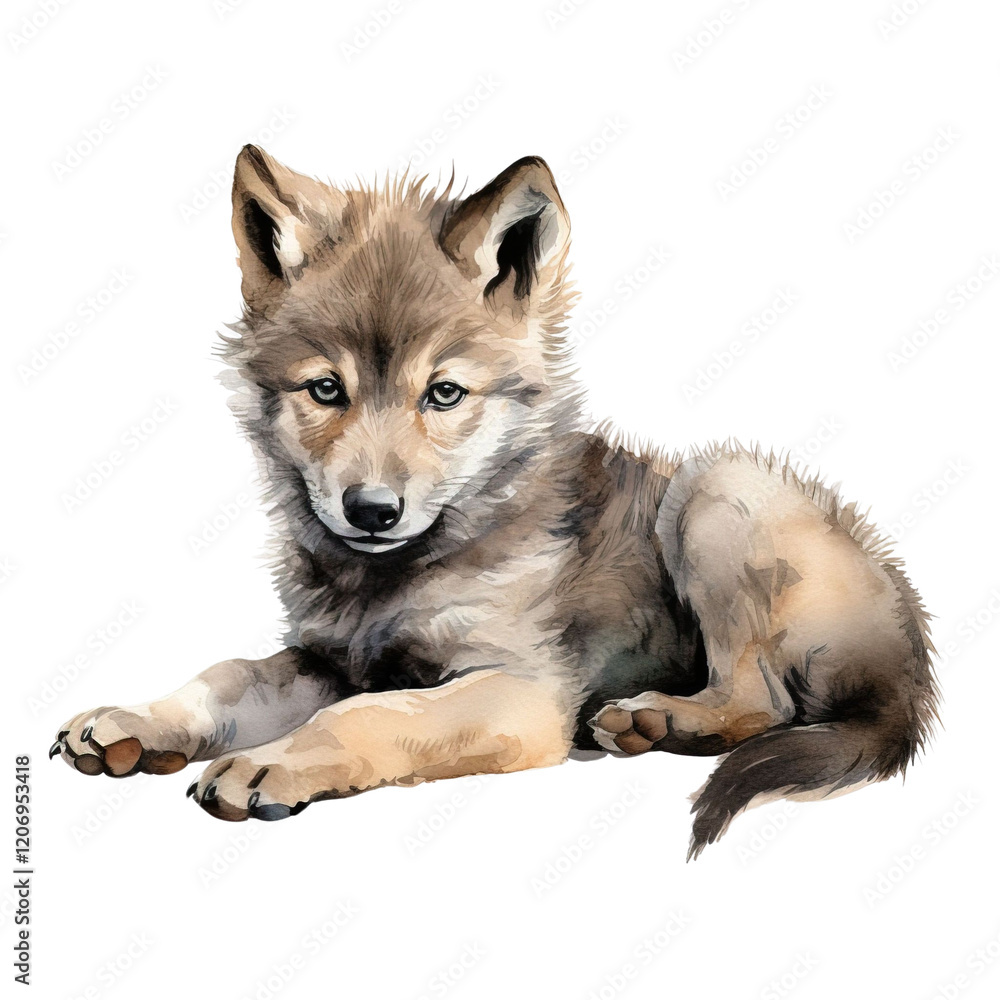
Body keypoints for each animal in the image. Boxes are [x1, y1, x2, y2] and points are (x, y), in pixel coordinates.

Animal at [52, 146, 939, 857]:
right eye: (326, 389)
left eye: (443, 393)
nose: (371, 510)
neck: (408, 569)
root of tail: (907, 654)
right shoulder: (327, 660)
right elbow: (225, 676)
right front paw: (134, 721)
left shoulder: (521, 692)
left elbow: (365, 718)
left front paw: (271, 763)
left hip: (716, 491)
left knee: (765, 697)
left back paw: (656, 720)